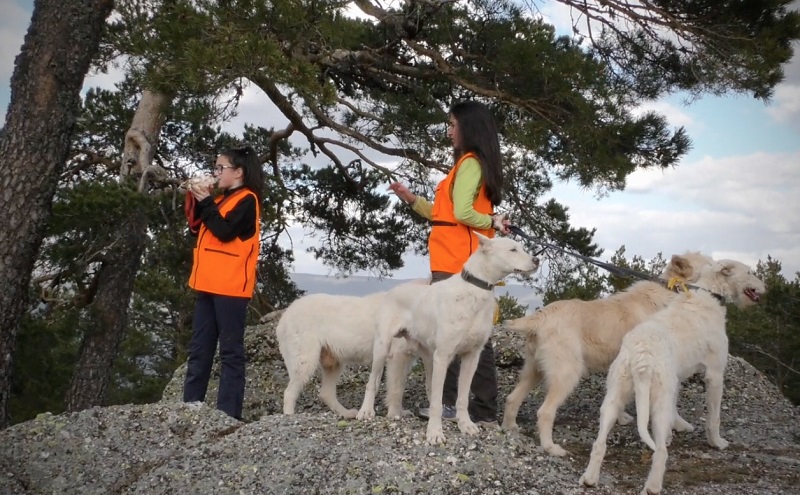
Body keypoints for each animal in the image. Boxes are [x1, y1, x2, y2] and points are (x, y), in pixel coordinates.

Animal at [276, 280, 428, 416]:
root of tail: (284, 317)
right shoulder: (398, 356)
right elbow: (397, 388)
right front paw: (395, 414)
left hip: (333, 363)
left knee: (326, 393)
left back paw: (346, 413)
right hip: (305, 360)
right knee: (289, 393)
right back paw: (289, 415)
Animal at [354, 234, 536, 448]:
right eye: (512, 250)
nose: (536, 260)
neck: (474, 290)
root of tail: (392, 290)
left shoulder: (471, 357)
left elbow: (462, 398)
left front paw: (465, 425)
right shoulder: (443, 356)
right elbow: (436, 403)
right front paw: (434, 432)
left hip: (426, 356)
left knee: (423, 386)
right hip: (383, 349)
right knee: (372, 382)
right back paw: (366, 411)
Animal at [500, 252, 712, 458]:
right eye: (710, 264)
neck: (671, 290)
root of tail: (540, 316)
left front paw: (620, 417)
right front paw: (679, 424)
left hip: (534, 370)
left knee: (512, 398)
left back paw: (509, 428)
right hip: (566, 374)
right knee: (544, 412)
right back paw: (551, 448)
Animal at [580, 260, 768, 495]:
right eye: (750, 272)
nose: (766, 288)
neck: (710, 294)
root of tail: (642, 354)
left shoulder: (675, 380)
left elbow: (676, 408)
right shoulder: (715, 375)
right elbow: (714, 417)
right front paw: (717, 442)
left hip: (614, 398)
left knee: (599, 442)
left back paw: (590, 478)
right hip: (656, 405)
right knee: (660, 451)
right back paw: (653, 486)